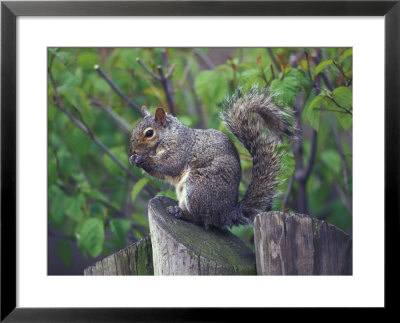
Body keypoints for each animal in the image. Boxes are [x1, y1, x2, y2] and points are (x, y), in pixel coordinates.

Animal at [128, 88, 294, 230]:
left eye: (149, 133)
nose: (132, 150)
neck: (168, 136)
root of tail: (227, 212)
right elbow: (161, 174)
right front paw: (133, 159)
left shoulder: (181, 149)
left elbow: (170, 165)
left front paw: (144, 158)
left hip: (198, 188)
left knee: (201, 220)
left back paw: (181, 213)